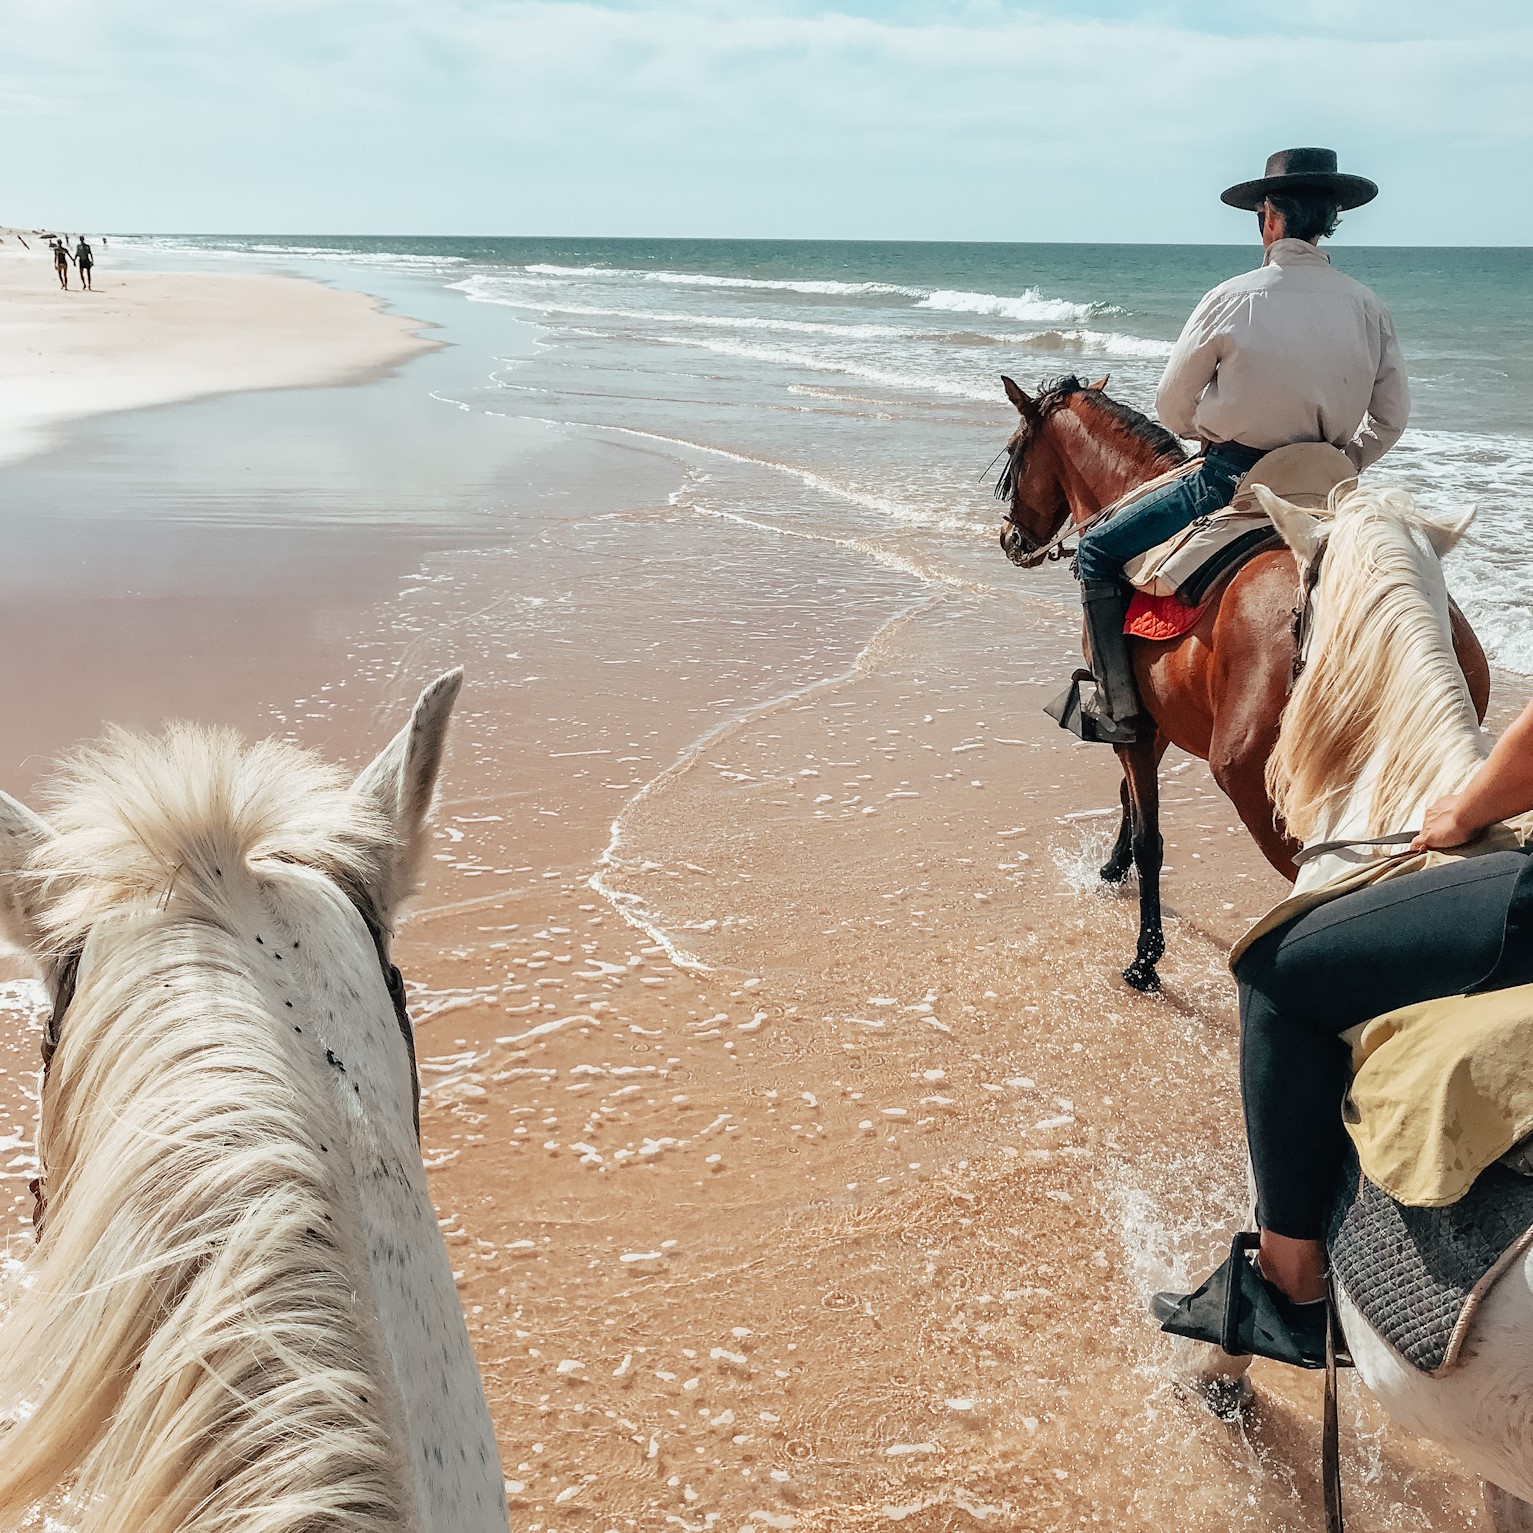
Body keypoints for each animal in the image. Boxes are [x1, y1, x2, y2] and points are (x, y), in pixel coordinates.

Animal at [993, 377, 1483, 987]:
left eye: (1015, 451)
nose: (1010, 538)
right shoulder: (1155, 723)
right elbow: (1131, 798)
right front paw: (1113, 866)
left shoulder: (1133, 724)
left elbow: (1149, 834)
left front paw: (1145, 957)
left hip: (1266, 795)